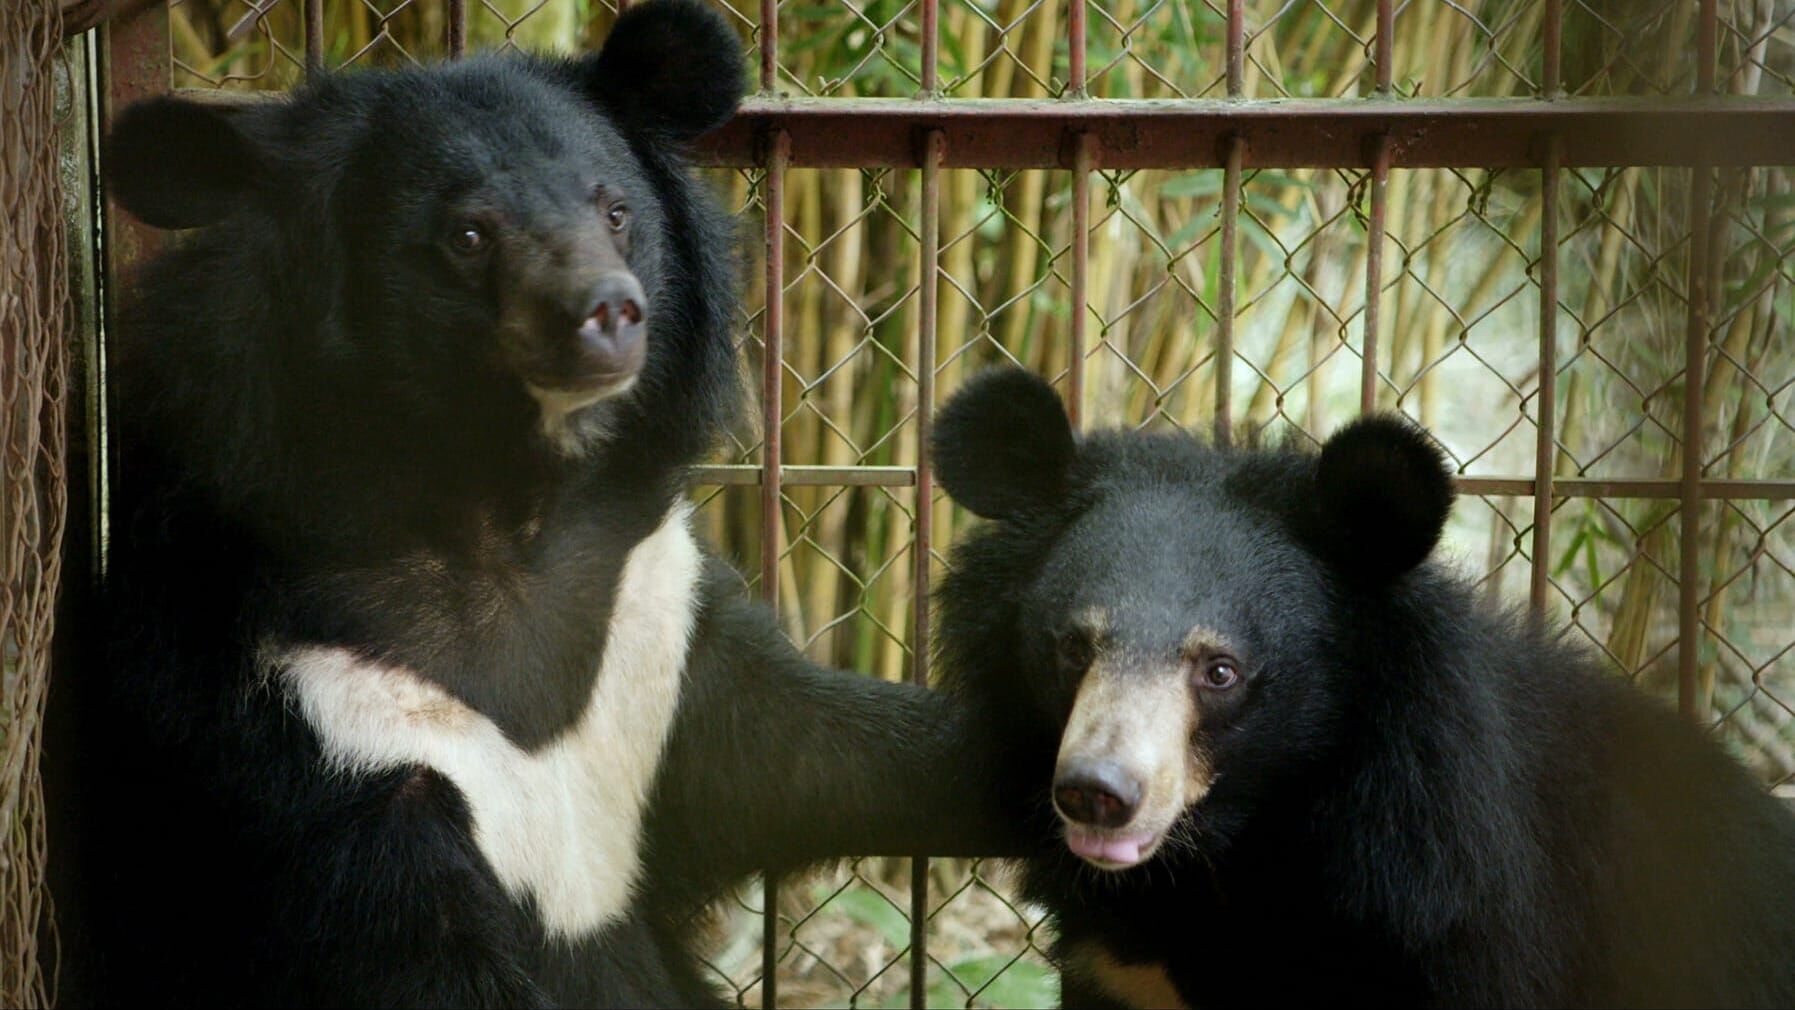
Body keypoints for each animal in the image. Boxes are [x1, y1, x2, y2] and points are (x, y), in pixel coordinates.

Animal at [49, 3, 1019, 1004]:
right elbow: (407, 943)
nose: (606, 311)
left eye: (615, 211)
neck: (503, 499)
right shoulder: (305, 717)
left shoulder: (654, 622)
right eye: (468, 235)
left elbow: (819, 750)